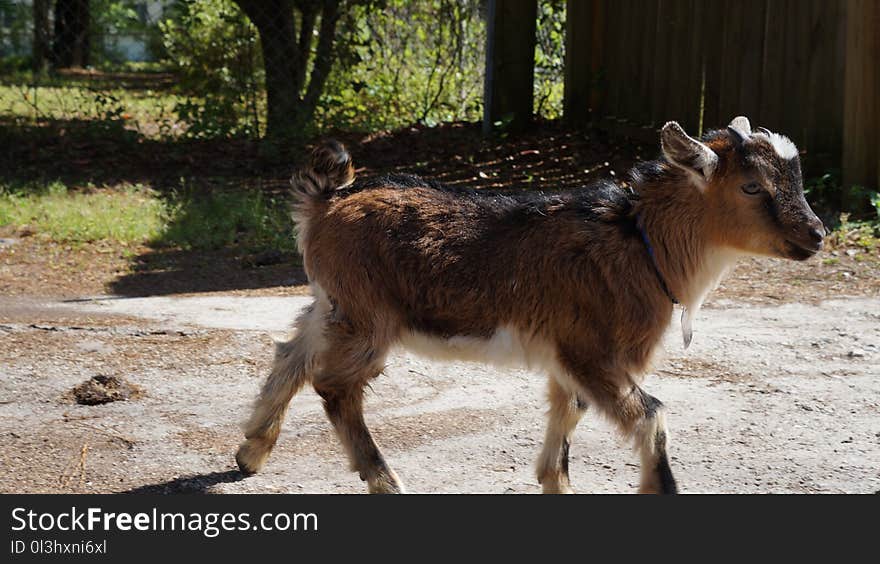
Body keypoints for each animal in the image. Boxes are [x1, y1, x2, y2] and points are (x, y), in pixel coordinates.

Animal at [234, 117, 824, 492]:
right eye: (752, 187)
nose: (816, 235)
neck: (639, 241)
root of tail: (325, 203)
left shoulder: (568, 360)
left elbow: (564, 427)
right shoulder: (591, 352)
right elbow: (652, 418)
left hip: (333, 303)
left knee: (291, 354)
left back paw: (251, 451)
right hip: (368, 317)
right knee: (335, 385)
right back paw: (386, 481)